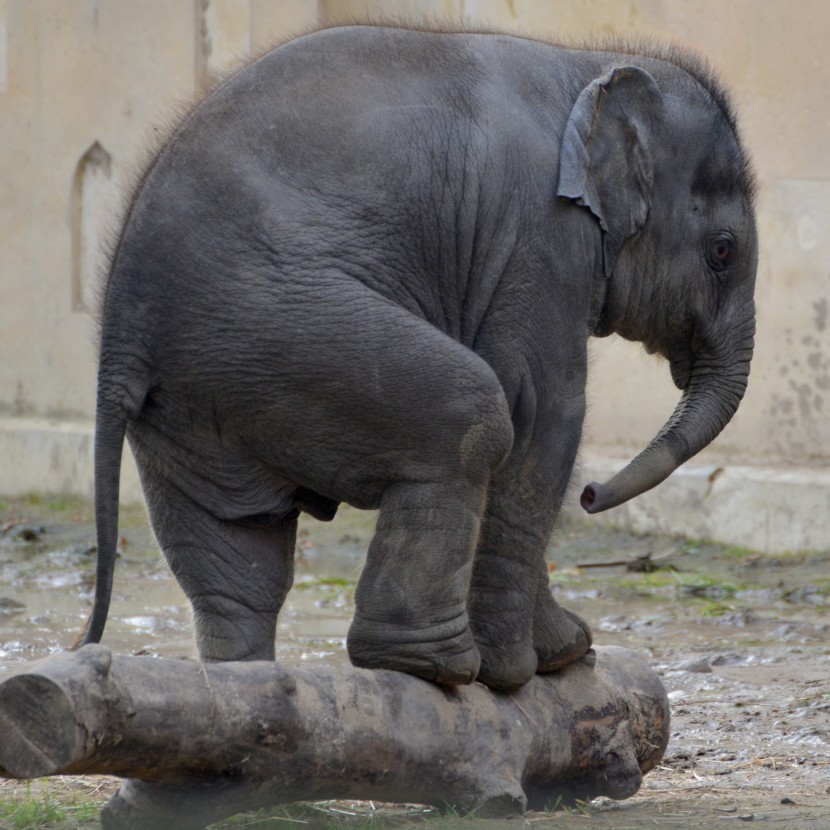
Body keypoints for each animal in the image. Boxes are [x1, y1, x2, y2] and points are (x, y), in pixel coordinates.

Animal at [81, 22, 756, 692]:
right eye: (723, 252)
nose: (593, 495)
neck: (587, 65)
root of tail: (120, 337)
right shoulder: (540, 238)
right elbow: (541, 414)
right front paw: (527, 669)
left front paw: (561, 653)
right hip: (277, 328)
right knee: (473, 419)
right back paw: (436, 666)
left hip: (194, 398)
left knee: (241, 555)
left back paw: (253, 688)